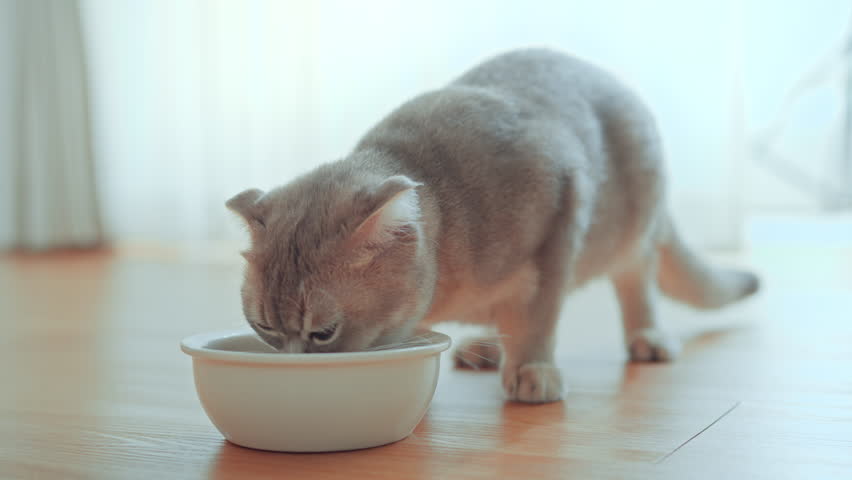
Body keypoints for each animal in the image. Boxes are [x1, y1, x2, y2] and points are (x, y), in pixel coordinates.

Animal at [226, 48, 760, 404]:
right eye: (264, 327)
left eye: (323, 333)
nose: (293, 365)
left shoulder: (561, 211)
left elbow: (539, 312)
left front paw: (533, 368)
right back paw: (483, 345)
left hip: (635, 224)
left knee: (636, 280)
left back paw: (646, 336)